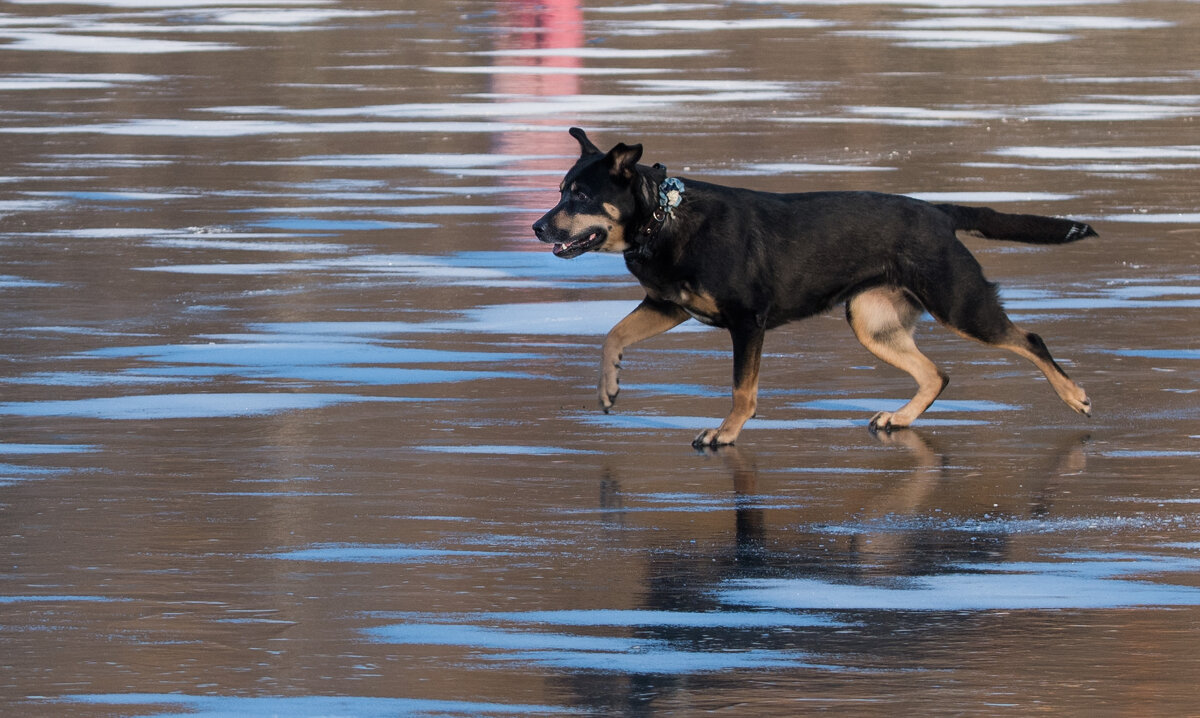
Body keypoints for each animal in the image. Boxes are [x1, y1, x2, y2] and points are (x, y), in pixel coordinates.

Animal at [535, 126, 1099, 446]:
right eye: (561, 190)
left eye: (579, 195)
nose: (538, 228)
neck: (662, 217)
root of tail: (939, 212)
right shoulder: (667, 305)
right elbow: (612, 336)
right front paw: (609, 387)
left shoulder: (747, 322)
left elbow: (742, 390)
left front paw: (726, 433)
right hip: (871, 323)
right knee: (936, 374)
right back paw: (901, 418)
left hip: (959, 305)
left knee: (1029, 340)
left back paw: (1074, 395)